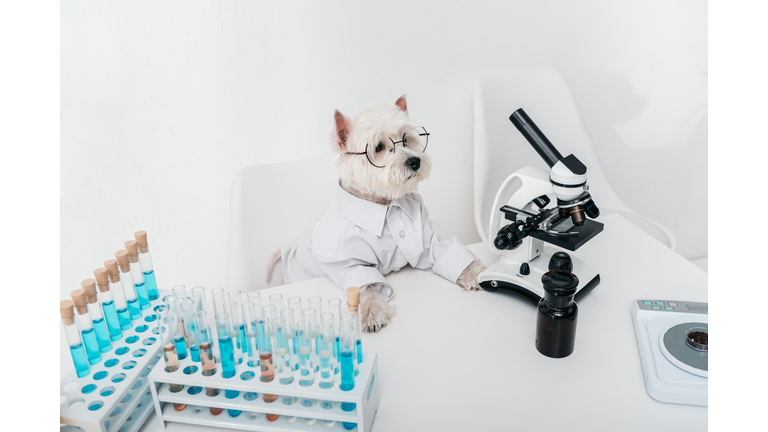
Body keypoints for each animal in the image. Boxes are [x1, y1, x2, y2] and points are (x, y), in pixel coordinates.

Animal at [270, 94, 484, 330]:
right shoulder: (348, 262)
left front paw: (478, 275)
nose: (415, 161)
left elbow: (447, 252)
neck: (383, 205)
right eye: (379, 146)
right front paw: (372, 313)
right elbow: (364, 286)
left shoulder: (427, 237)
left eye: (406, 140)